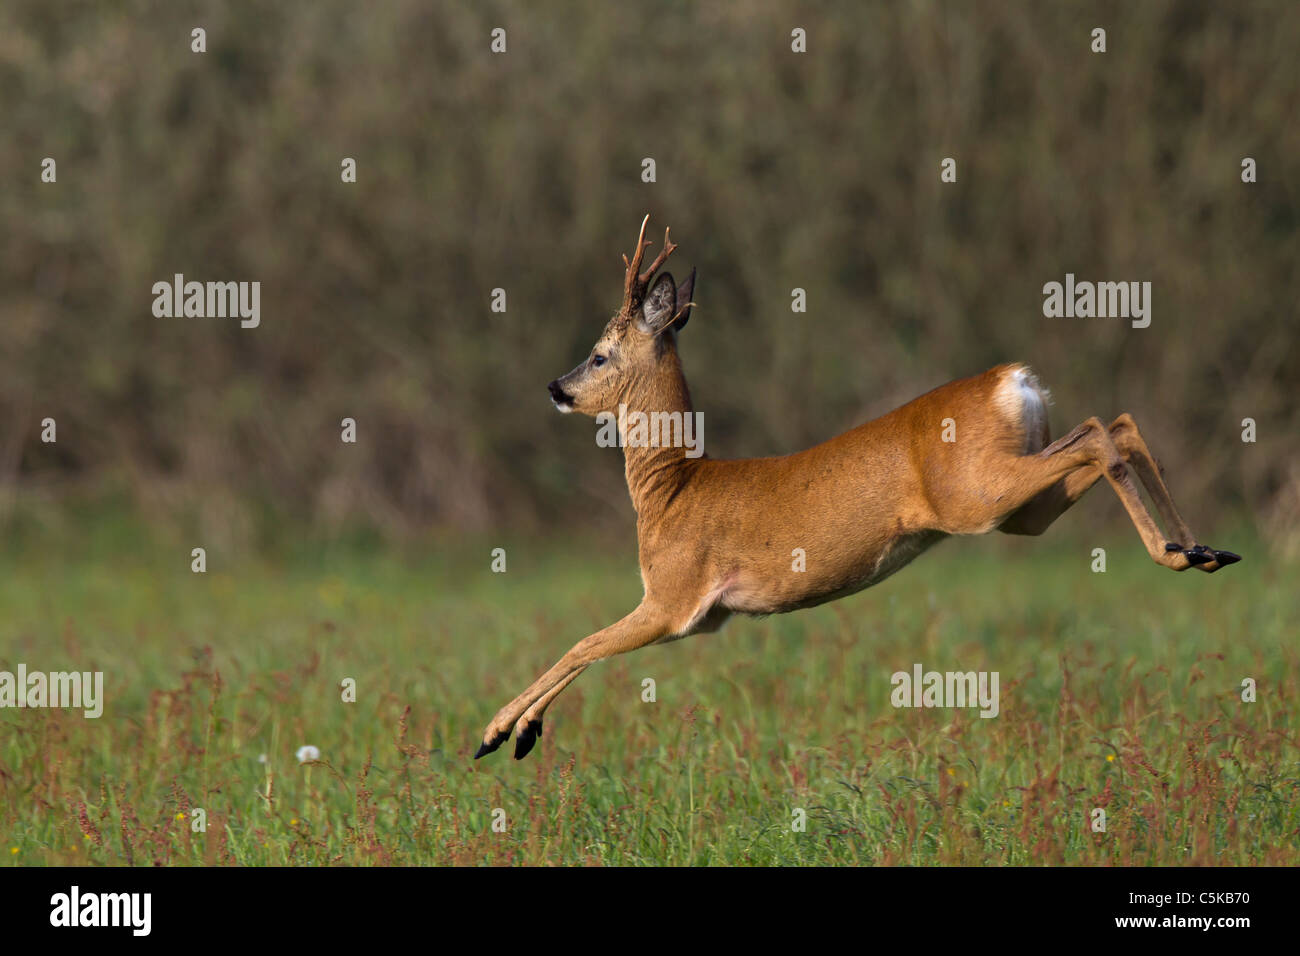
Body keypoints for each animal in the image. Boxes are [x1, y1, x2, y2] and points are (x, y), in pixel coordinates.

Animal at [475, 214, 1237, 764]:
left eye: (600, 354)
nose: (555, 387)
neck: (671, 489)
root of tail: (1014, 380)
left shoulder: (674, 599)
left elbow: (581, 643)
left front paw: (499, 733)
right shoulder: (695, 612)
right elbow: (584, 646)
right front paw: (513, 732)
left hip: (979, 497)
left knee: (1100, 434)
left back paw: (1180, 553)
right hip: (1022, 507)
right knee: (1118, 423)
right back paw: (1202, 551)